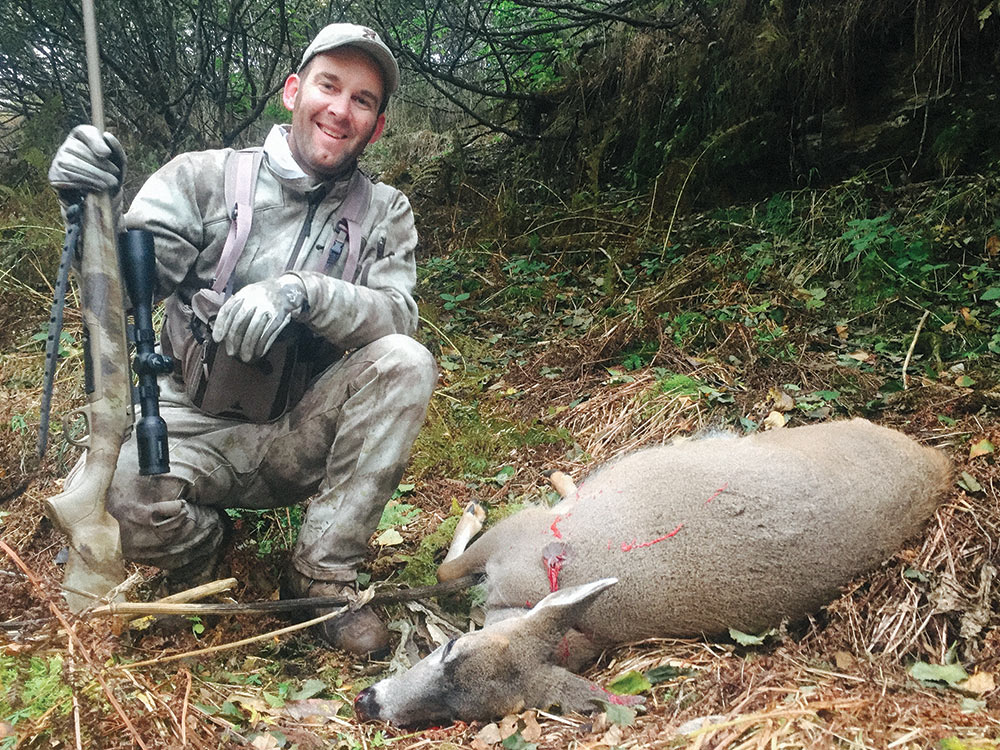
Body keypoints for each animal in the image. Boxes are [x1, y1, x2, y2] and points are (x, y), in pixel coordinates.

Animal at [356, 420, 948, 724]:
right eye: (447, 649)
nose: (367, 703)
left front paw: (475, 512)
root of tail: (937, 463)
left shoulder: (519, 533)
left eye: (461, 715)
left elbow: (444, 568)